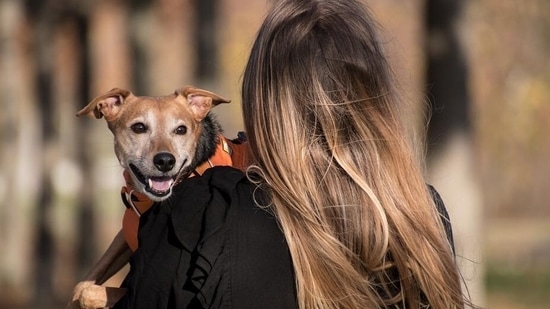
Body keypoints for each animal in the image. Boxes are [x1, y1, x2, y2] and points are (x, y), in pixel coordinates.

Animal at [69, 85, 233, 306]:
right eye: (139, 127)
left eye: (181, 130)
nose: (165, 161)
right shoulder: (124, 237)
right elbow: (82, 286)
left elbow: (89, 293)